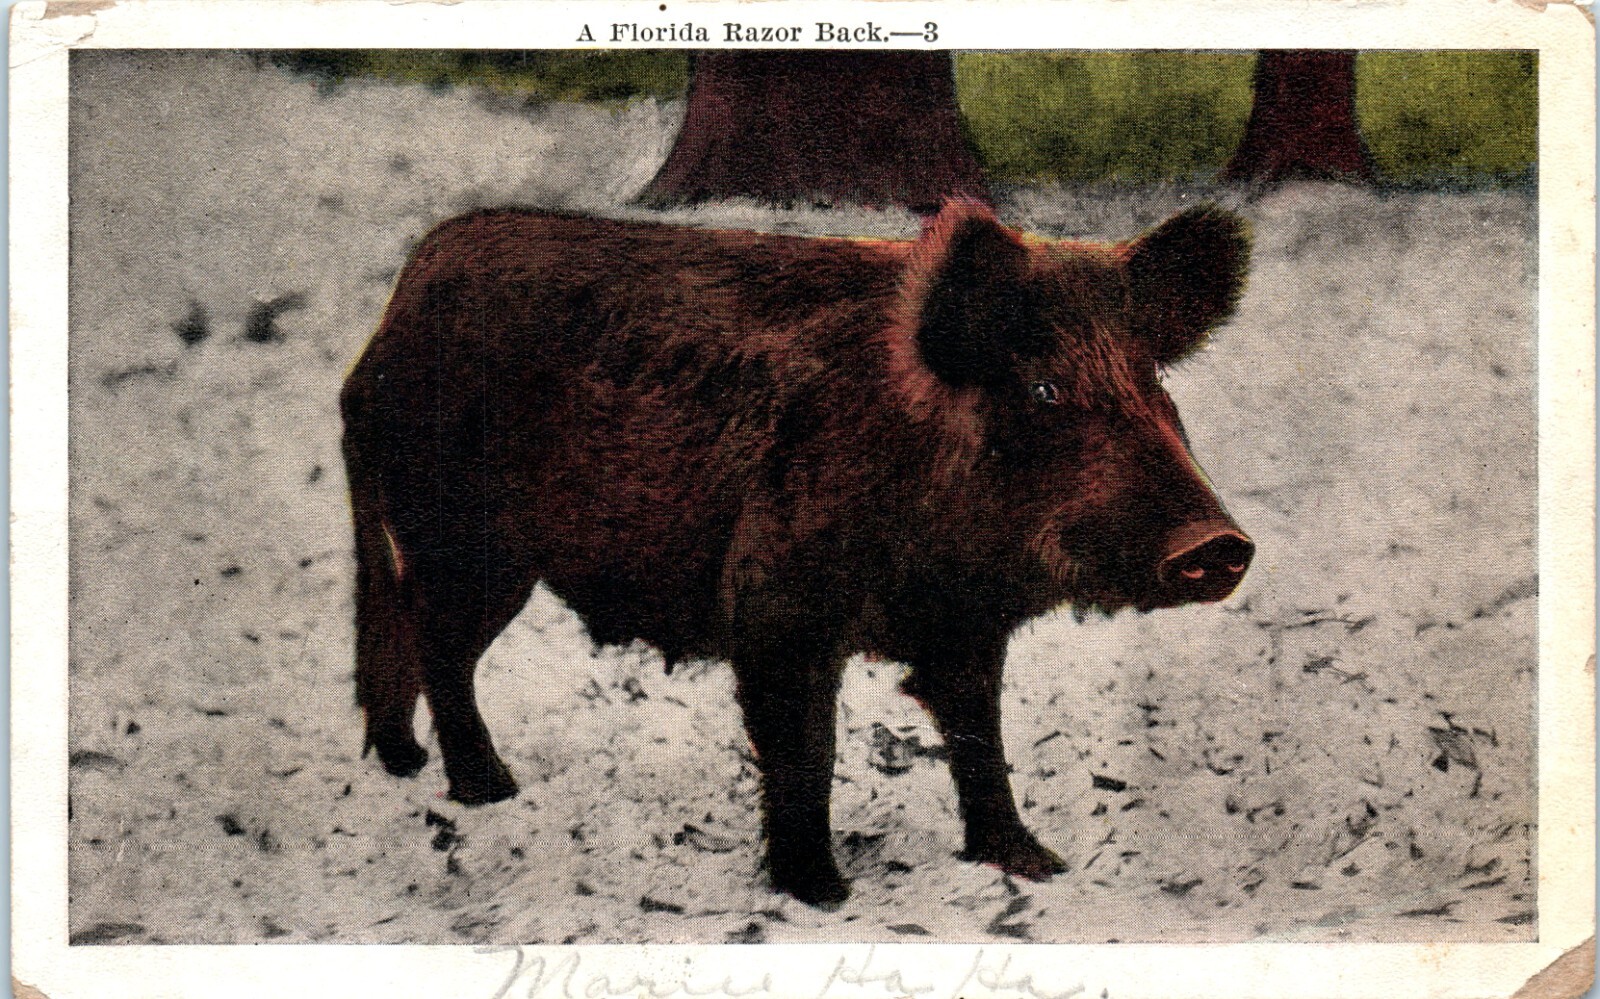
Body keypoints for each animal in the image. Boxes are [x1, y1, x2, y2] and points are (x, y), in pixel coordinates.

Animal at [340, 199, 1253, 907]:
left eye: (1154, 381)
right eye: (1045, 389)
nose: (1221, 544)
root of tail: (380, 336)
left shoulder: (967, 623)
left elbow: (979, 735)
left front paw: (1036, 865)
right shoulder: (777, 603)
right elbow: (806, 750)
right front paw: (822, 893)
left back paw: (409, 765)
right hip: (464, 540)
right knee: (435, 641)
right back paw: (487, 789)